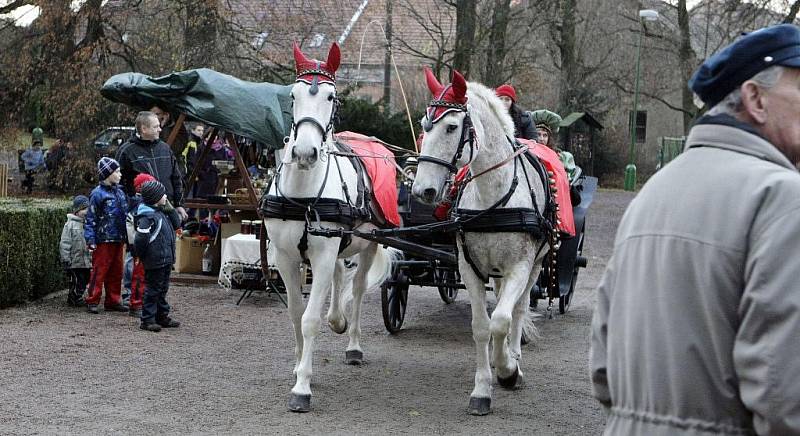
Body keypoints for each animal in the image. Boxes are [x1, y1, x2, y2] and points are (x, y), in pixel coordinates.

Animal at [262, 41, 396, 412]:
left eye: (331, 96)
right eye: (292, 95)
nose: (305, 152)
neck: (303, 196)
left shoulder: (320, 257)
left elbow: (310, 319)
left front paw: (302, 388)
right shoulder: (286, 257)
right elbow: (295, 313)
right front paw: (298, 368)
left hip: (369, 242)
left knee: (360, 288)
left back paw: (353, 344)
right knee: (339, 276)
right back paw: (338, 319)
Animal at [412, 68, 552, 416]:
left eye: (451, 127)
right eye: (424, 125)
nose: (422, 190)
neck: (493, 195)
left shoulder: (520, 267)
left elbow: (501, 321)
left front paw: (507, 371)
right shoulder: (469, 267)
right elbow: (480, 327)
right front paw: (481, 389)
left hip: (536, 266)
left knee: (518, 309)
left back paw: (513, 358)